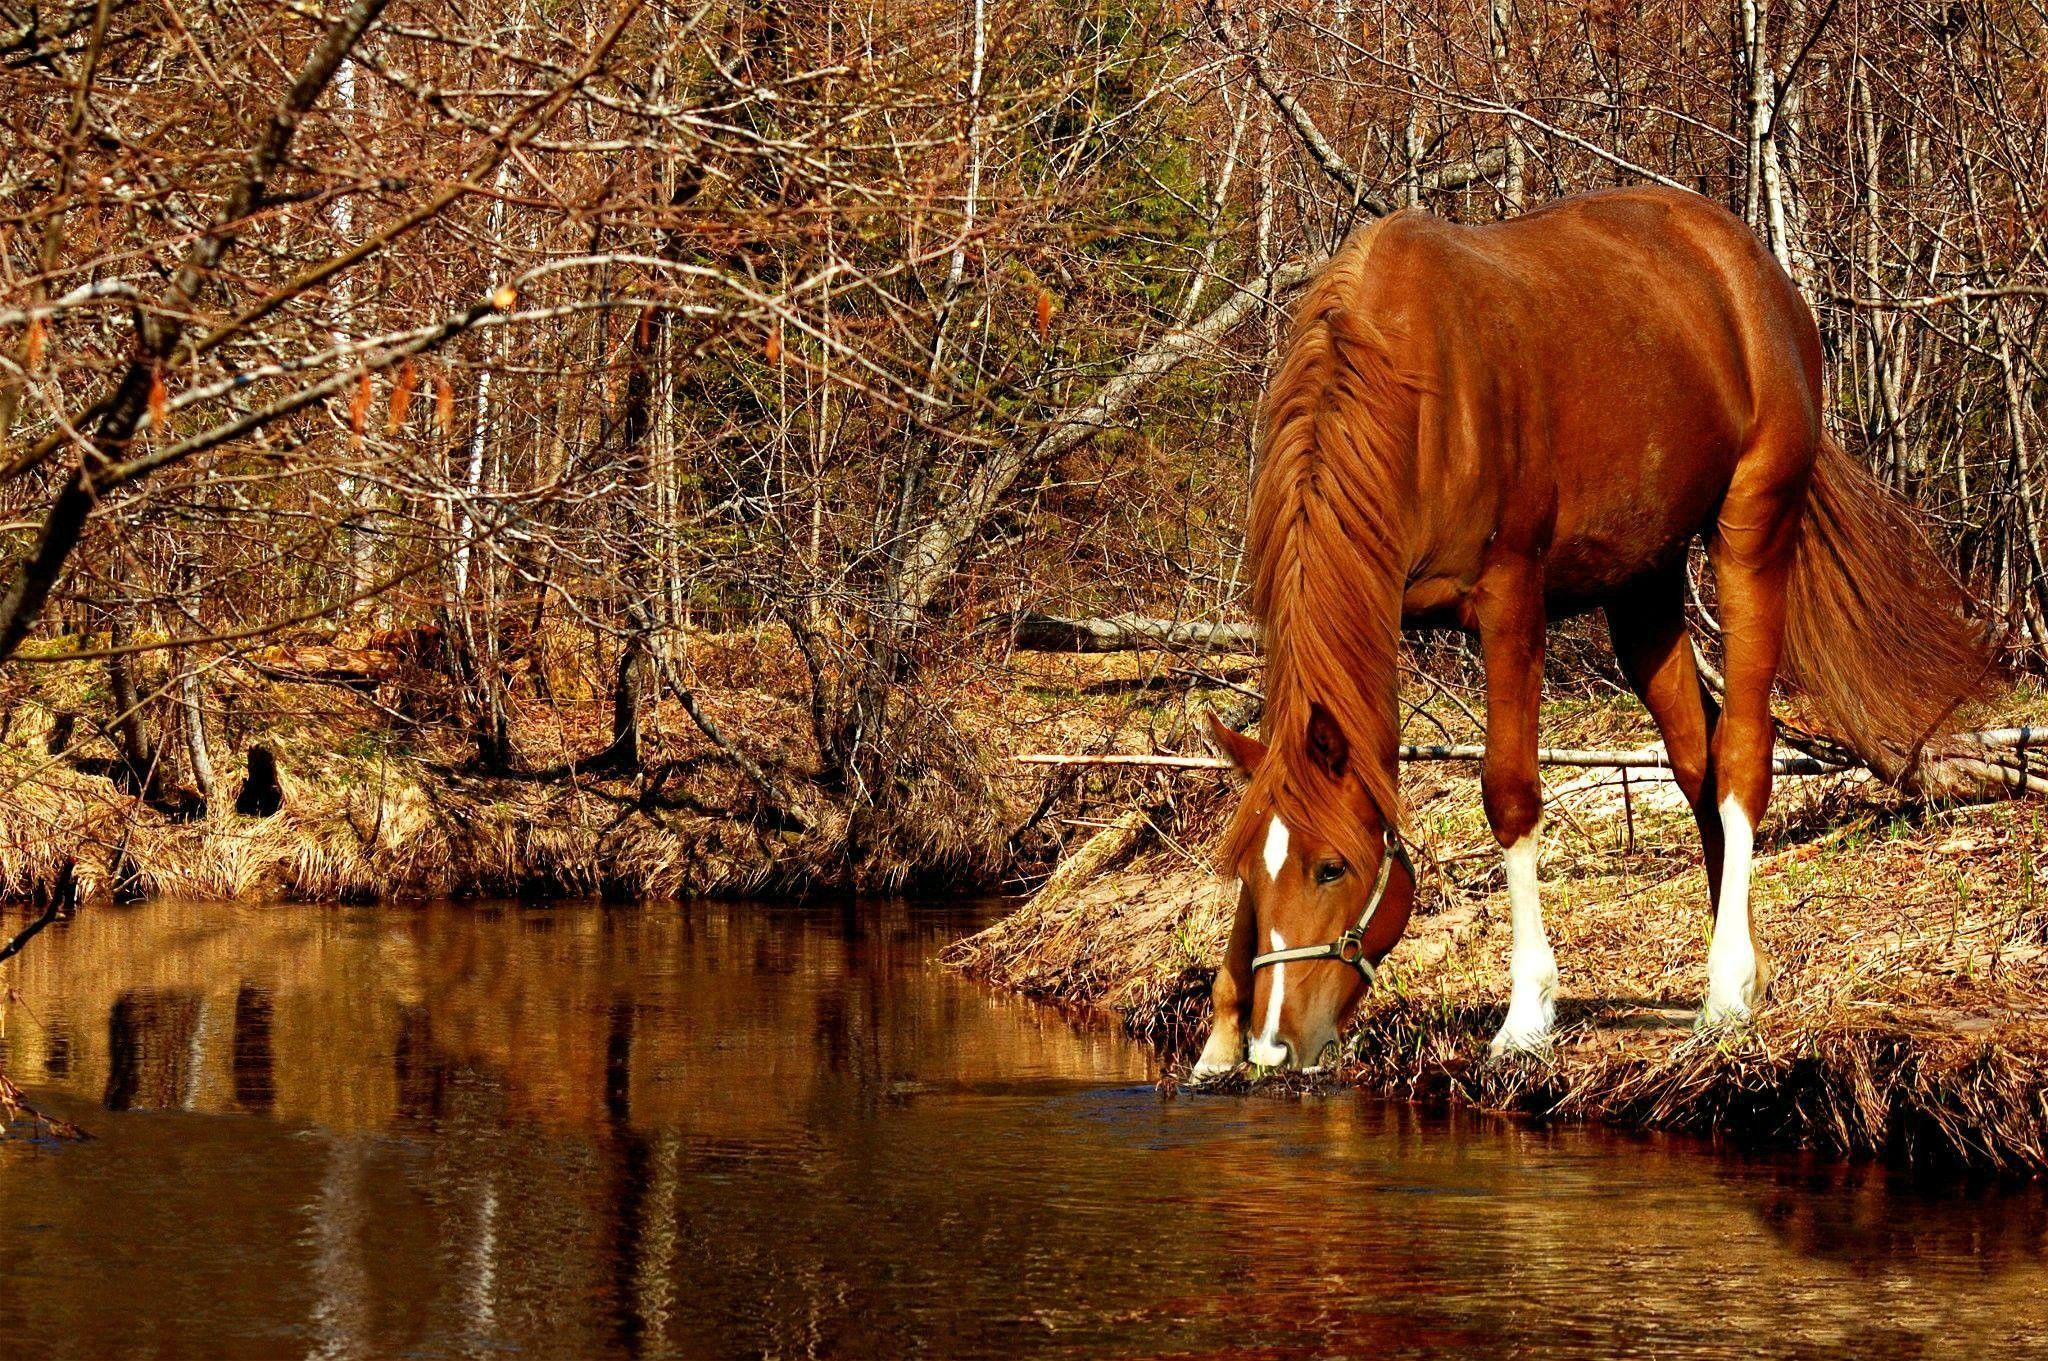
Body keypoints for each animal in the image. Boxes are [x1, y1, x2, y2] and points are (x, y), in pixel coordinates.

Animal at [1194, 185, 1991, 1077]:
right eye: (1250, 874)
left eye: (1331, 867)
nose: (1273, 1045)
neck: (1416, 385)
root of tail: (1755, 272)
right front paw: (1216, 1041)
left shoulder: (1511, 601)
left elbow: (1509, 794)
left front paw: (1527, 1014)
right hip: (1643, 584)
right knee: (1697, 759)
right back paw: (1744, 970)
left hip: (1752, 529)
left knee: (1743, 752)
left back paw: (1724, 991)